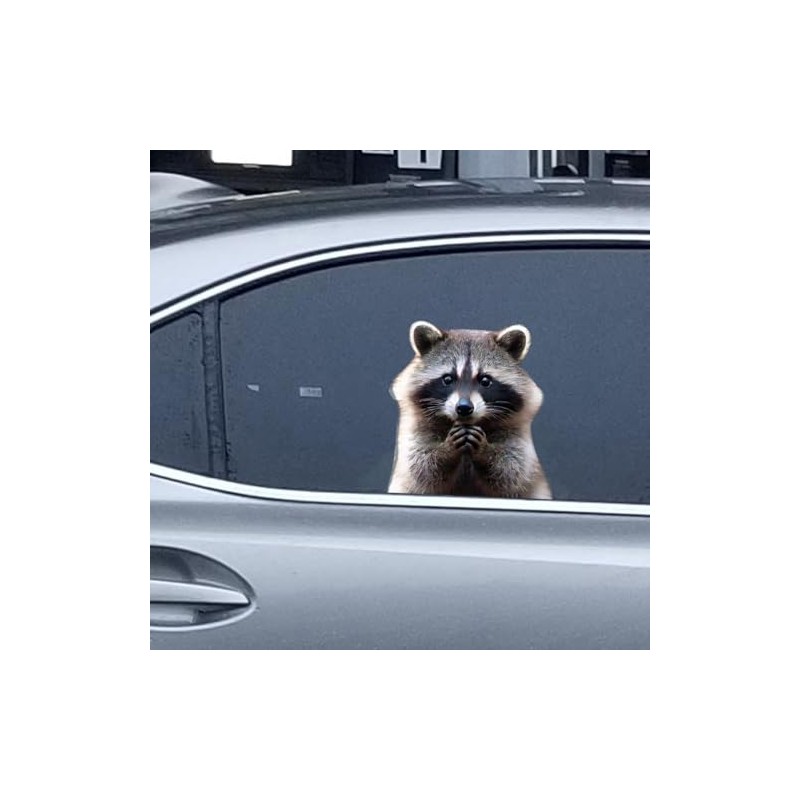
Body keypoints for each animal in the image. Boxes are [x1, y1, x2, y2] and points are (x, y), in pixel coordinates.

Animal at [388, 321, 551, 499]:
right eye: (448, 379)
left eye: (485, 380)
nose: (464, 407)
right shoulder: (418, 428)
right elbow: (421, 465)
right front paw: (446, 451)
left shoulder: (515, 429)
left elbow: (512, 468)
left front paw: (485, 451)